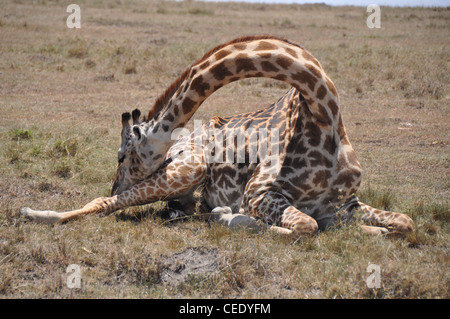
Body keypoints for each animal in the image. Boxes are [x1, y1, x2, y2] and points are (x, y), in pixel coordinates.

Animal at [21, 35, 414, 240]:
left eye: (121, 157)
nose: (115, 183)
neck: (323, 115)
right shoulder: (259, 194)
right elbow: (306, 226)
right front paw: (230, 218)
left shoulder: (345, 206)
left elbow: (403, 224)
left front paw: (375, 232)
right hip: (189, 169)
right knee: (104, 204)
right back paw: (33, 213)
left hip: (184, 186)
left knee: (178, 209)